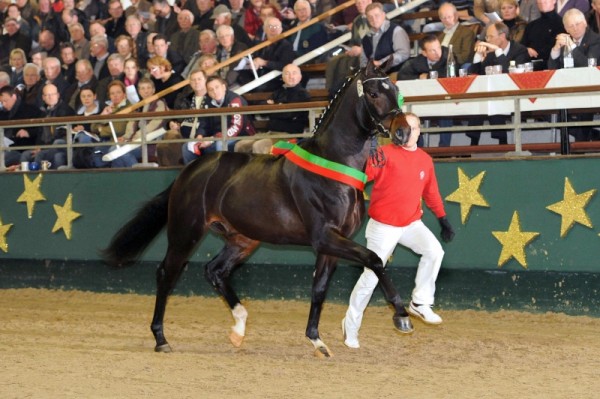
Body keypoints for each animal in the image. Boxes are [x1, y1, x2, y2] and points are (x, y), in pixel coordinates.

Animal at [103, 61, 412, 358]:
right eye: (374, 93)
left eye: (396, 90)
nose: (403, 131)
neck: (332, 163)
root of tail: (190, 170)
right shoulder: (325, 237)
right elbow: (374, 259)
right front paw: (402, 315)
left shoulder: (332, 244)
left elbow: (319, 289)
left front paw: (317, 341)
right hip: (185, 233)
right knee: (167, 273)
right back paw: (161, 338)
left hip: (243, 239)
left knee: (215, 271)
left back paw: (239, 327)